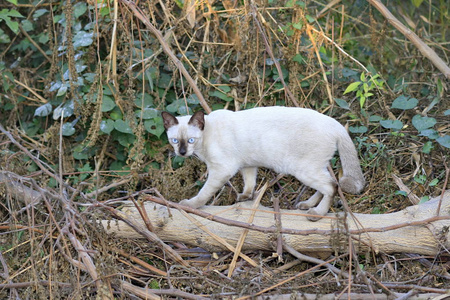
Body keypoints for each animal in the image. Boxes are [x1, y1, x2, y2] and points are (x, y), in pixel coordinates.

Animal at [162, 106, 366, 220]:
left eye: (191, 140)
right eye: (174, 140)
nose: (182, 152)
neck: (204, 140)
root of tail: (334, 123)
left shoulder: (221, 170)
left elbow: (203, 193)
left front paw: (189, 205)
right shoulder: (247, 164)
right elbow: (249, 183)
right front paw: (245, 197)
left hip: (304, 170)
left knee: (332, 186)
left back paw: (317, 214)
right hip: (314, 168)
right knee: (329, 183)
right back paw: (307, 205)